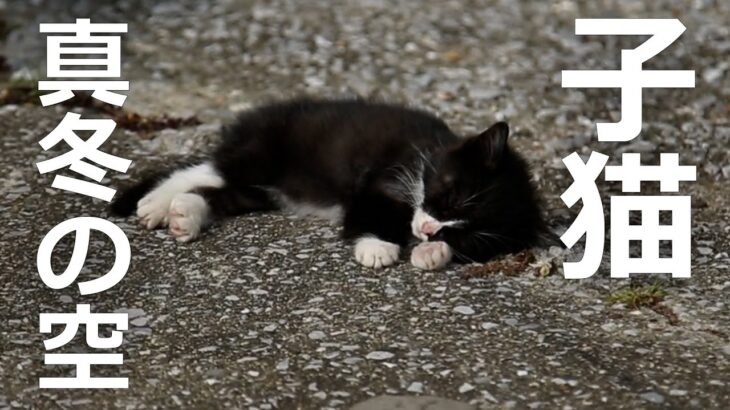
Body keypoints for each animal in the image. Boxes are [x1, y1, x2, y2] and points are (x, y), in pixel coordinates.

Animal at [108, 96, 540, 270]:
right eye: (449, 197)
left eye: (464, 232)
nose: (430, 229)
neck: (430, 151)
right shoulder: (382, 176)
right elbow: (370, 211)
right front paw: (377, 247)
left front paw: (433, 252)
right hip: (266, 152)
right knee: (208, 169)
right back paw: (156, 204)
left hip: (270, 189)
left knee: (226, 193)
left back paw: (185, 215)